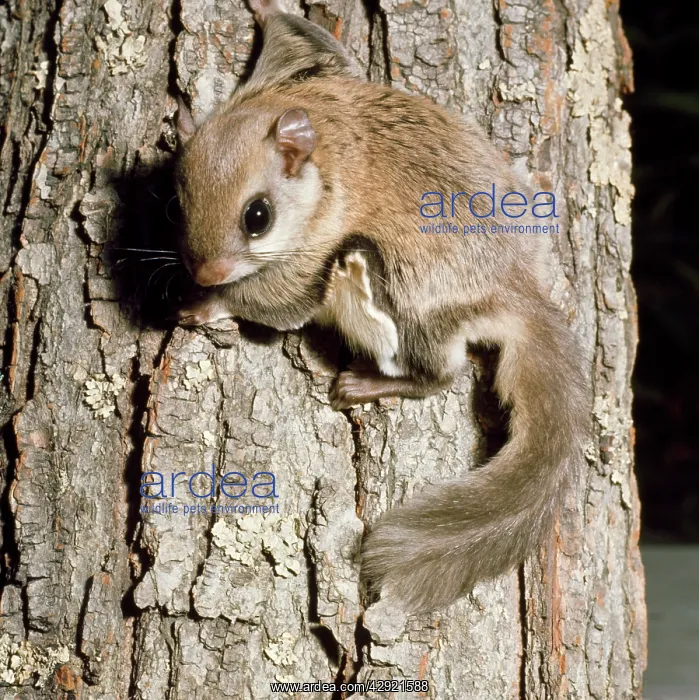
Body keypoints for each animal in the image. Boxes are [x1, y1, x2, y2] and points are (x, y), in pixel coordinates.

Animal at [173, 0, 589, 612]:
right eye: (177, 203)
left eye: (257, 216)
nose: (205, 273)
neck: (324, 153)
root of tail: (516, 290)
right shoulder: (306, 67)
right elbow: (306, 35)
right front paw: (264, 9)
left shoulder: (306, 265)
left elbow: (274, 306)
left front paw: (208, 305)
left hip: (394, 292)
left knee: (439, 372)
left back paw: (366, 384)